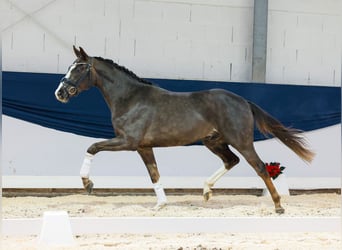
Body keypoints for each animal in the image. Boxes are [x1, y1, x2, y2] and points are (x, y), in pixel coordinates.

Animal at [54, 46, 314, 213]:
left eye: (79, 68)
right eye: (70, 67)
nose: (60, 93)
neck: (130, 98)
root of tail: (243, 101)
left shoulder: (128, 142)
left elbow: (92, 147)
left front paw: (87, 184)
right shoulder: (143, 147)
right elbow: (154, 174)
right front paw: (160, 204)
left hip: (241, 141)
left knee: (259, 167)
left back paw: (278, 206)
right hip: (214, 141)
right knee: (231, 161)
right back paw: (206, 191)